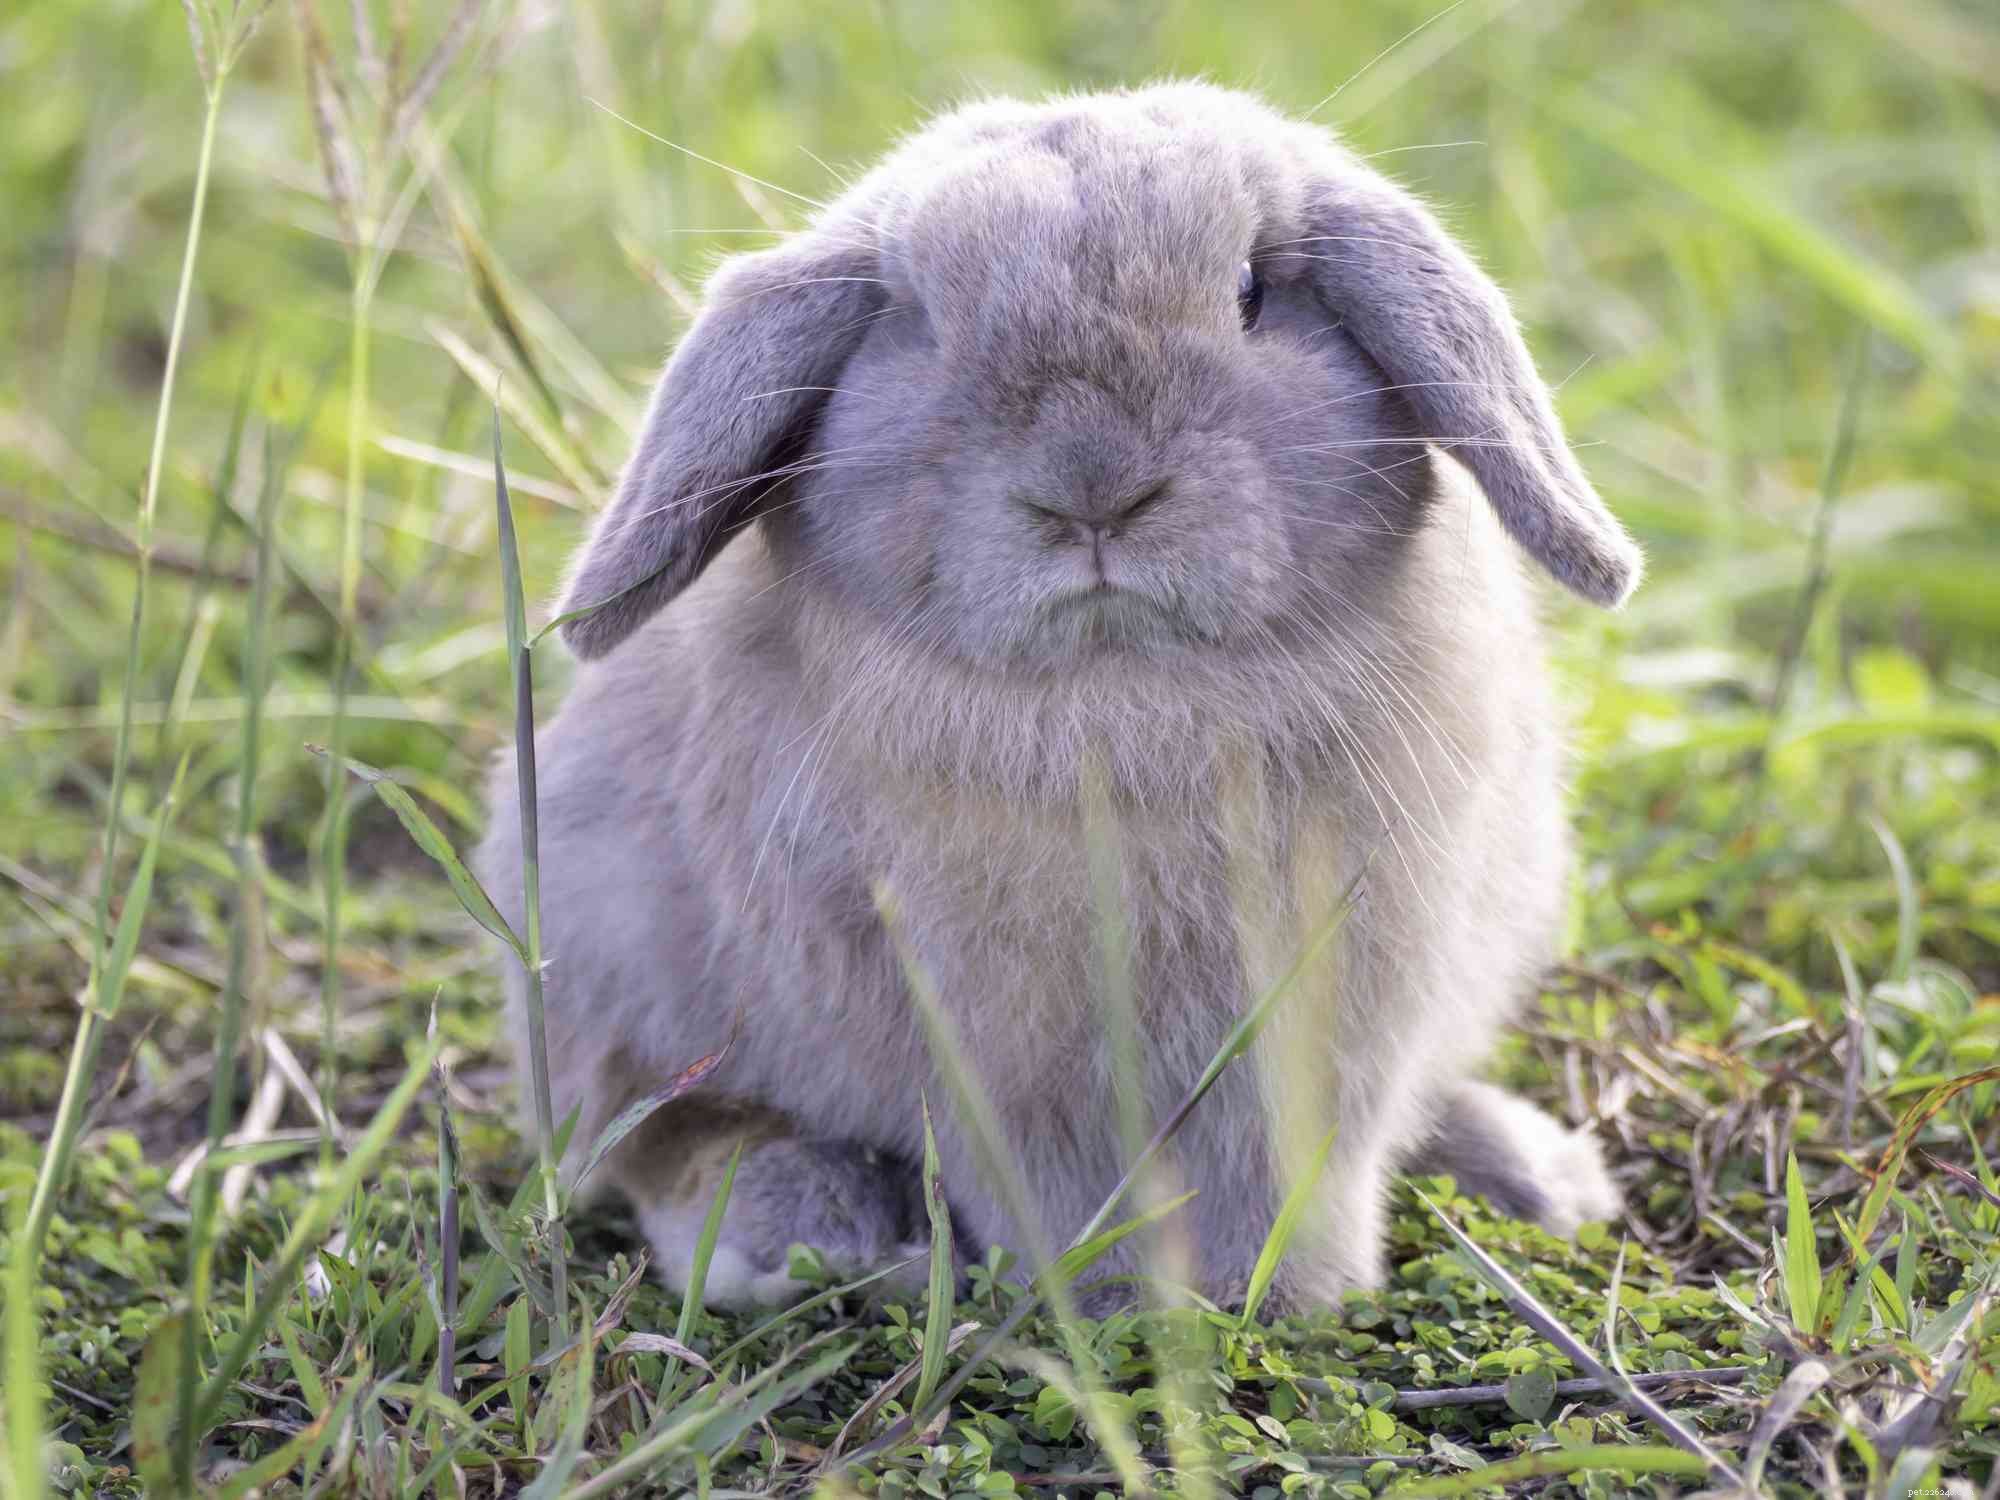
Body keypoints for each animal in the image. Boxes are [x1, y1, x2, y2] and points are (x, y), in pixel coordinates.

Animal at [475, 81, 1639, 1311]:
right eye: (920, 323)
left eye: (1250, 292)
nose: (1093, 491)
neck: (1117, 684)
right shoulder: (999, 1057)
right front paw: (1127, 1305)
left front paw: (1280, 1296)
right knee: (660, 1134)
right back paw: (805, 1223)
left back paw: (1540, 1176)